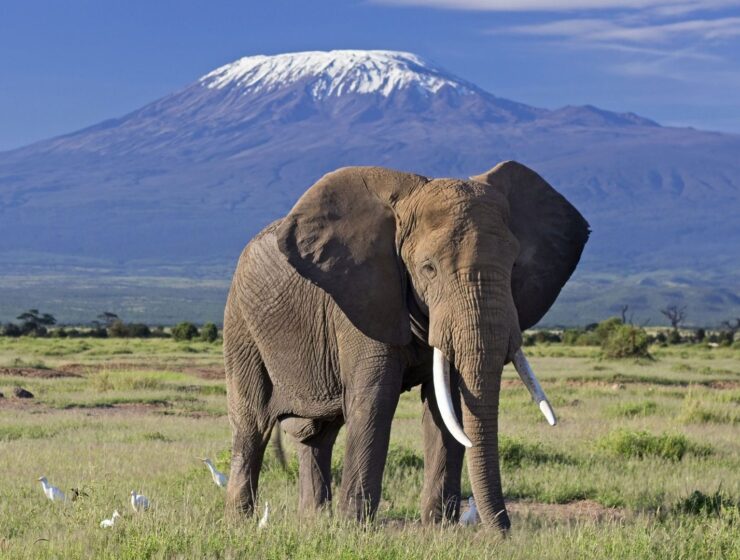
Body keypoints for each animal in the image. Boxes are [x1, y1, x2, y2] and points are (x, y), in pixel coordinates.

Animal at [223, 161, 589, 531]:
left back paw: (314, 521)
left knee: (318, 434)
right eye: (428, 268)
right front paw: (356, 529)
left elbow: (447, 405)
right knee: (252, 423)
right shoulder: (362, 299)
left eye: (514, 265)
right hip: (240, 323)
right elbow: (375, 400)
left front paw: (439, 530)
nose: (504, 533)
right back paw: (241, 522)